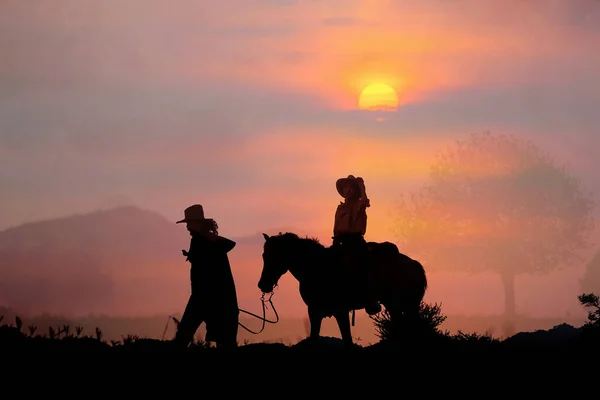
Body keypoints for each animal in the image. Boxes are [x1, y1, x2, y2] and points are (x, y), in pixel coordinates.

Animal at [256, 231, 426, 346]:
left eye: (276, 255)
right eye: (264, 255)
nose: (262, 284)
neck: (317, 267)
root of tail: (414, 264)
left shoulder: (340, 311)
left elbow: (347, 341)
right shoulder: (314, 311)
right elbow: (314, 339)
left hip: (403, 305)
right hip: (398, 306)